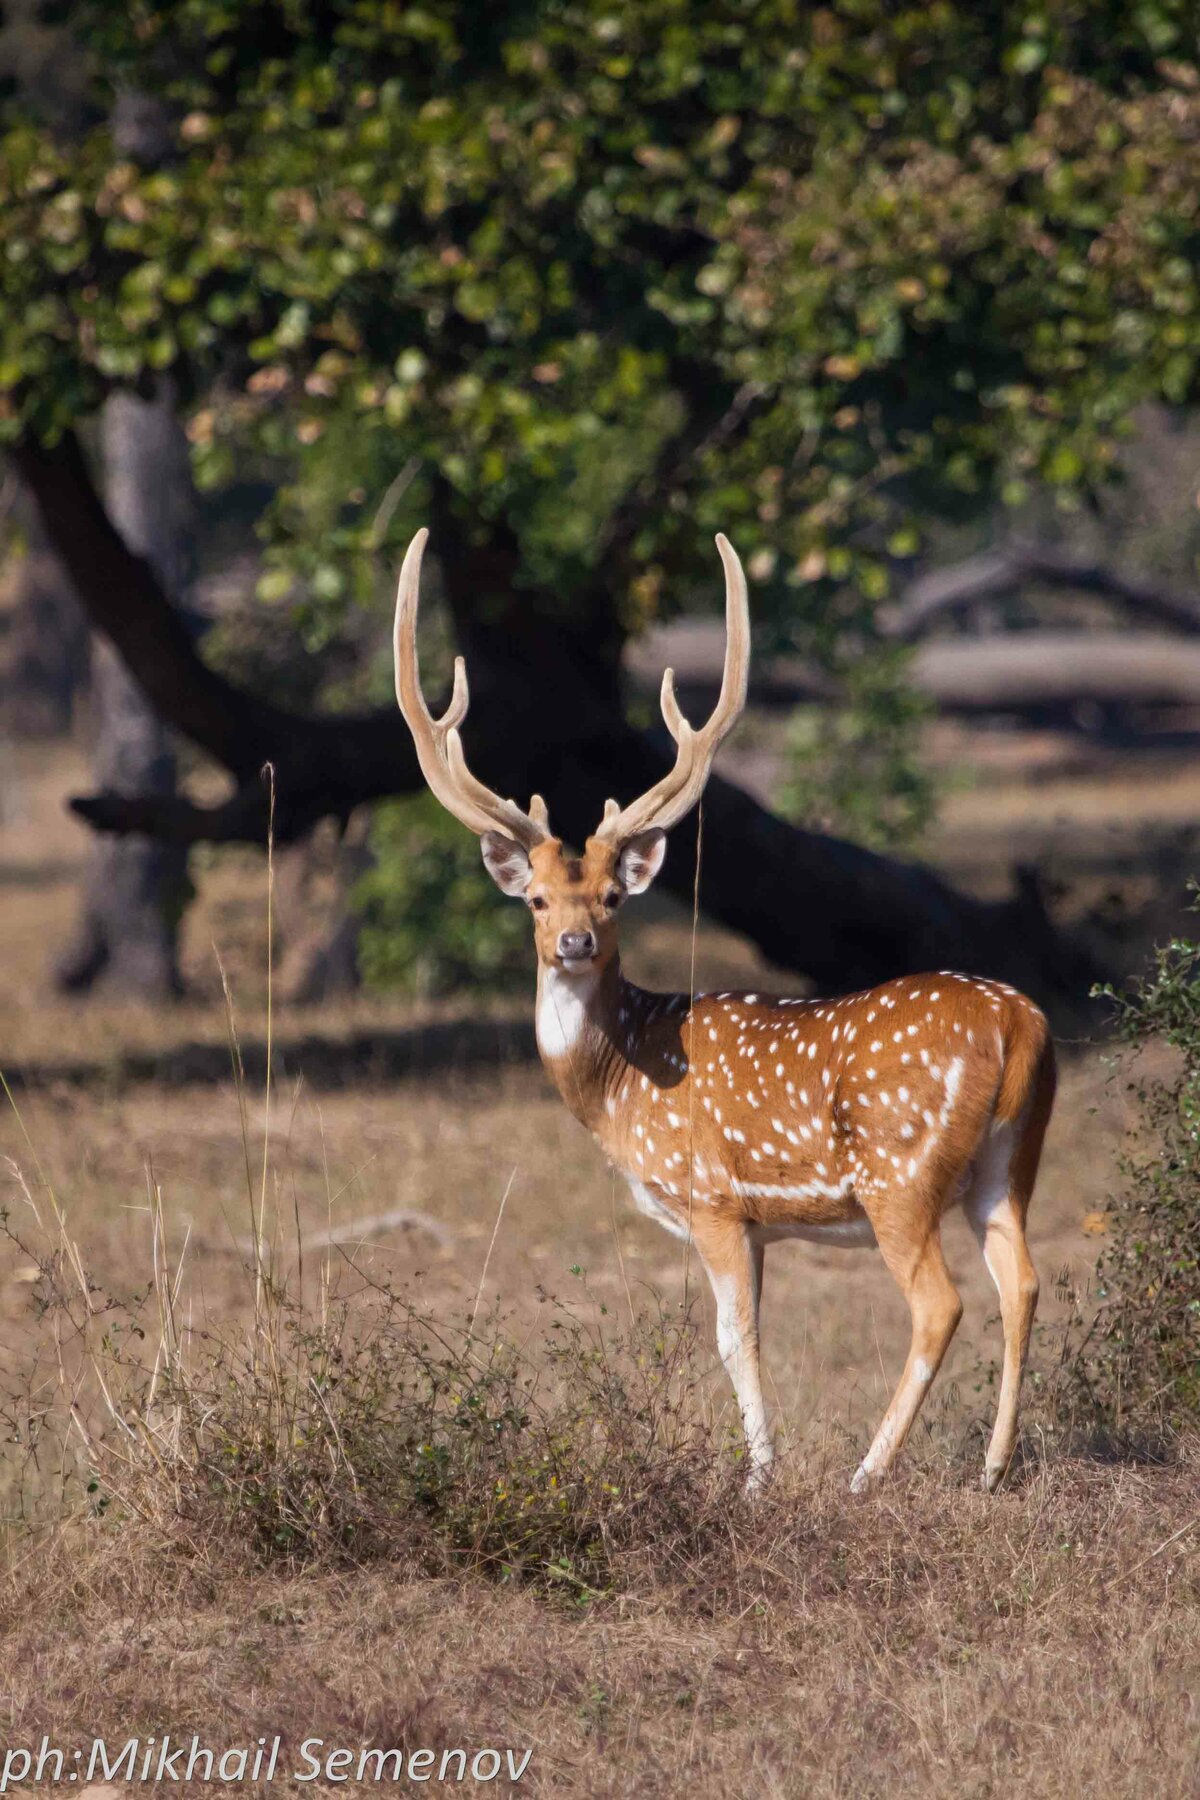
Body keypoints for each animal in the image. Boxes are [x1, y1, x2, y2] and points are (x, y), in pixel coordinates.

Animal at [394, 525, 1050, 1497]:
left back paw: (866, 1472)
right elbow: (755, 1332)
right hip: (1008, 1162)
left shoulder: (711, 1197)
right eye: (539, 900)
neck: (618, 1085)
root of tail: (1019, 1025)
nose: (574, 944)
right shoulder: (761, 1225)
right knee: (1024, 1281)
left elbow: (733, 1340)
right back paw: (992, 1469)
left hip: (900, 1169)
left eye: (613, 899)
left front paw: (758, 1478)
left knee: (941, 1302)